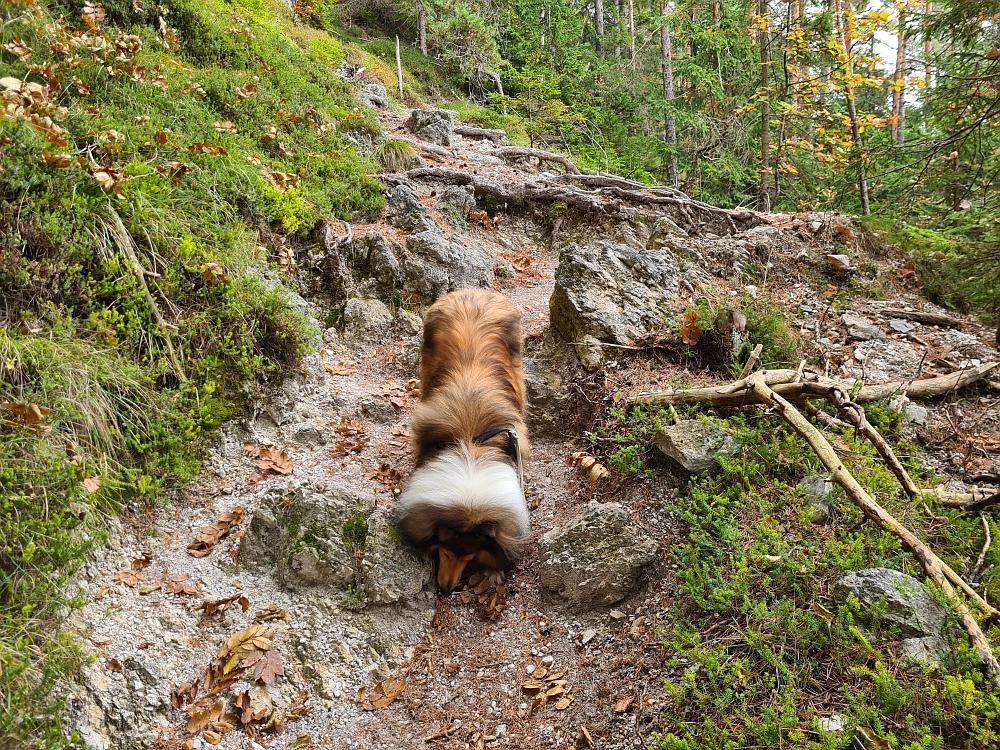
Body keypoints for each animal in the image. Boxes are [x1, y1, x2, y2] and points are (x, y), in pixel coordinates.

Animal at [396, 290, 532, 596]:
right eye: (445, 550)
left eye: (469, 554)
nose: (446, 590)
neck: (470, 446)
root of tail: (473, 291)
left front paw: (494, 571)